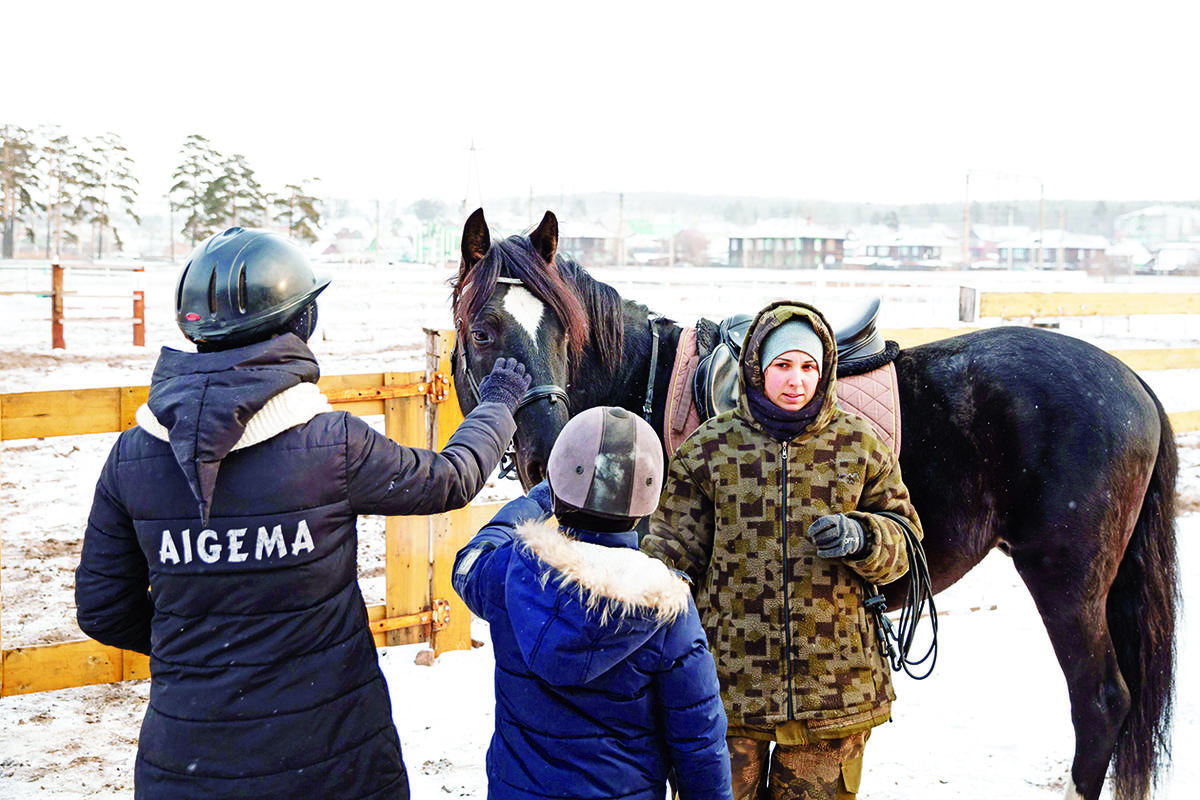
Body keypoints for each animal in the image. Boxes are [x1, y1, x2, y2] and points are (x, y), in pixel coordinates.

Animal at [448, 208, 1171, 800]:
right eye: (481, 333)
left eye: (563, 334)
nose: (549, 450)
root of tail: (1131, 380)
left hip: (1068, 581)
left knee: (1101, 702)